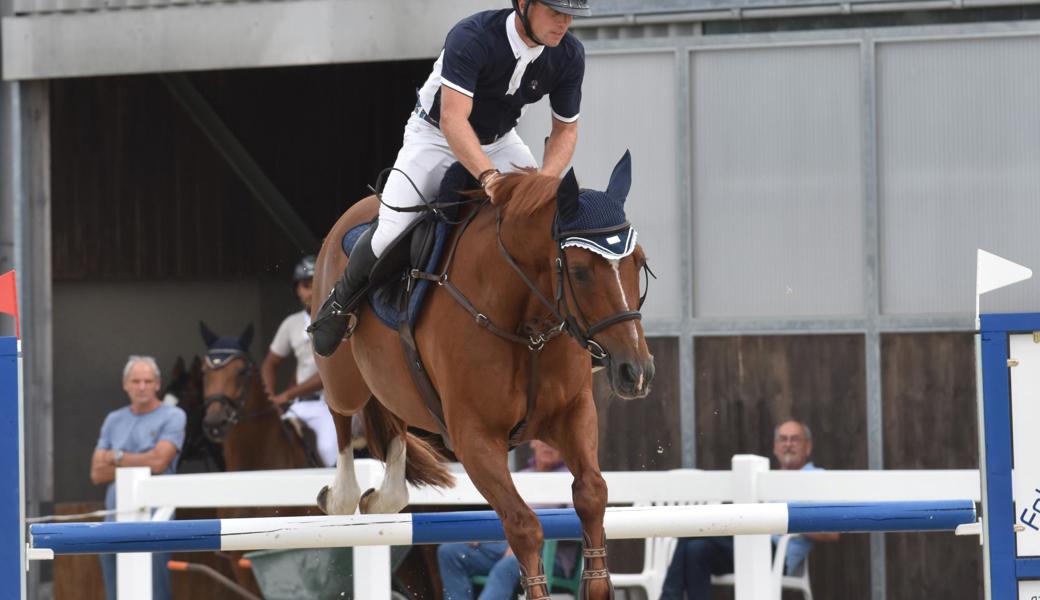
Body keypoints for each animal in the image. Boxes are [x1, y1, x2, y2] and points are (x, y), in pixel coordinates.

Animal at [312, 151, 653, 594]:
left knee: (394, 422)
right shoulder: (475, 438)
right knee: (341, 413)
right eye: (580, 271)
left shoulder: (573, 414)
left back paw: (384, 495)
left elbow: (592, 494)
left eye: (640, 263)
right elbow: (523, 524)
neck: (528, 324)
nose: (637, 372)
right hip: (343, 377)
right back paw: (344, 495)